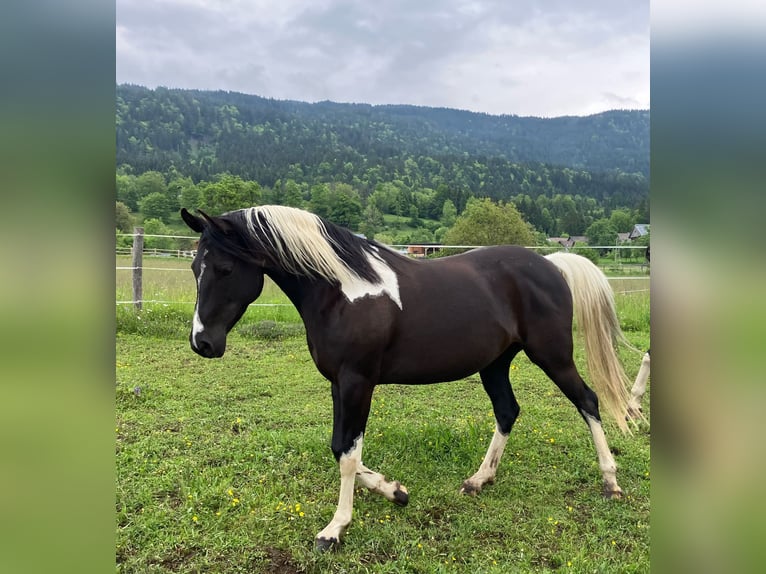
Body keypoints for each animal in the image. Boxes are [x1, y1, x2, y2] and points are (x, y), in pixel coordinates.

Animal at [180, 205, 636, 552]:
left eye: (224, 268)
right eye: (195, 267)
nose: (202, 342)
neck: (341, 291)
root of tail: (552, 265)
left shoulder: (357, 382)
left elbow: (348, 454)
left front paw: (335, 529)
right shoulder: (338, 384)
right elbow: (339, 448)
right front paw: (394, 490)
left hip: (553, 356)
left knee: (588, 401)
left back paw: (610, 483)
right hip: (495, 364)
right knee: (508, 411)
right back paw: (479, 480)